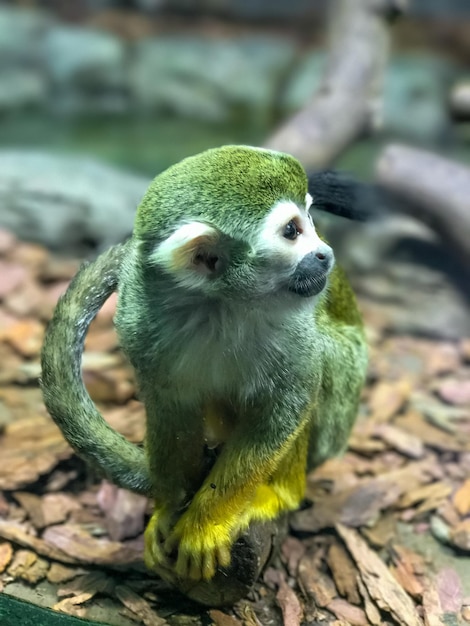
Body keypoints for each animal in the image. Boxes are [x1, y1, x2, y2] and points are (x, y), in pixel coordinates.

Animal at [41, 144, 368, 584]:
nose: (323, 253)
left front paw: (206, 522)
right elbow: (171, 409)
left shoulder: (294, 331)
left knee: (325, 364)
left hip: (337, 424)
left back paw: (280, 493)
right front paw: (167, 509)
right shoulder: (138, 315)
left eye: (310, 220)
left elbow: (287, 404)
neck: (221, 305)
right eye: (291, 231)